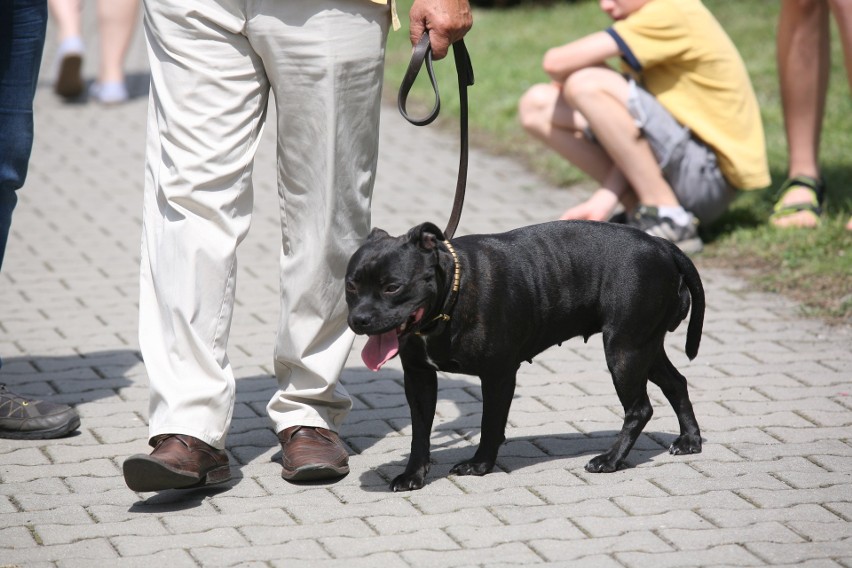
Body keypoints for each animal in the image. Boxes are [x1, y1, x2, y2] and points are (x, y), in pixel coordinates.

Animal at [346, 220, 704, 490]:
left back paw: (611, 460)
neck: (451, 297)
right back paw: (689, 440)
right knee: (676, 383)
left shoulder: (498, 375)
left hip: (623, 352)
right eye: (351, 285)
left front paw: (480, 465)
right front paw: (414, 475)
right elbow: (420, 433)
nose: (358, 320)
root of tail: (662, 245)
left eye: (392, 287)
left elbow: (490, 423)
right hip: (643, 348)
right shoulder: (419, 378)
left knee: (639, 408)